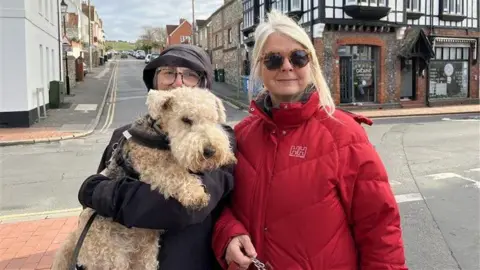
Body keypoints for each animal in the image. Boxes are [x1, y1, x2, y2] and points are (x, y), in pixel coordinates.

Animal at [53, 86, 237, 270]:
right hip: (110, 256)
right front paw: (197, 195)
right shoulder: (152, 165)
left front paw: (228, 156)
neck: (159, 134)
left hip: (143, 252)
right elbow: (175, 173)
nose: (211, 151)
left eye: (213, 120)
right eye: (186, 119)